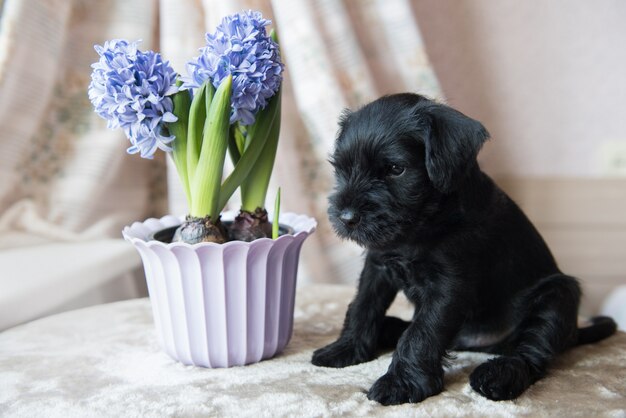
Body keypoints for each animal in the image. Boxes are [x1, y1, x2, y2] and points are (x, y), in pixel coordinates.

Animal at [310, 94, 612, 404]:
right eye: (342, 169)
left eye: (396, 169)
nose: (346, 217)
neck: (420, 226)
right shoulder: (377, 266)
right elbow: (362, 306)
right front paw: (346, 348)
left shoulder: (449, 284)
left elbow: (421, 332)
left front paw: (401, 383)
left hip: (559, 293)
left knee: (530, 353)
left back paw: (499, 375)